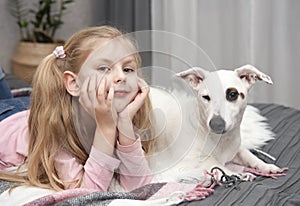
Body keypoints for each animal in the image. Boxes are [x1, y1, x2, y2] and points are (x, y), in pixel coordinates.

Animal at [149, 65, 282, 183]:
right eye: (206, 97)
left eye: (232, 94)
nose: (216, 124)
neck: (220, 140)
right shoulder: (189, 162)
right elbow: (216, 165)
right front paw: (236, 174)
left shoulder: (236, 149)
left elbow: (249, 156)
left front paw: (266, 166)